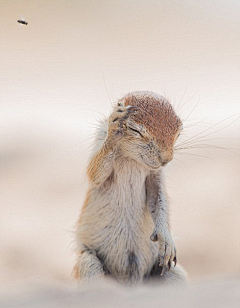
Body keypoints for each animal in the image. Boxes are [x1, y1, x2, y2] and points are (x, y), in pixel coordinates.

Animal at [73, 91, 188, 286]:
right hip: (88, 262)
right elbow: (95, 173)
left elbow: (160, 200)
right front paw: (114, 128)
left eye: (179, 130)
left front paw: (166, 241)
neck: (131, 158)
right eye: (135, 130)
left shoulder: (155, 174)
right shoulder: (99, 136)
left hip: (174, 274)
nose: (166, 159)